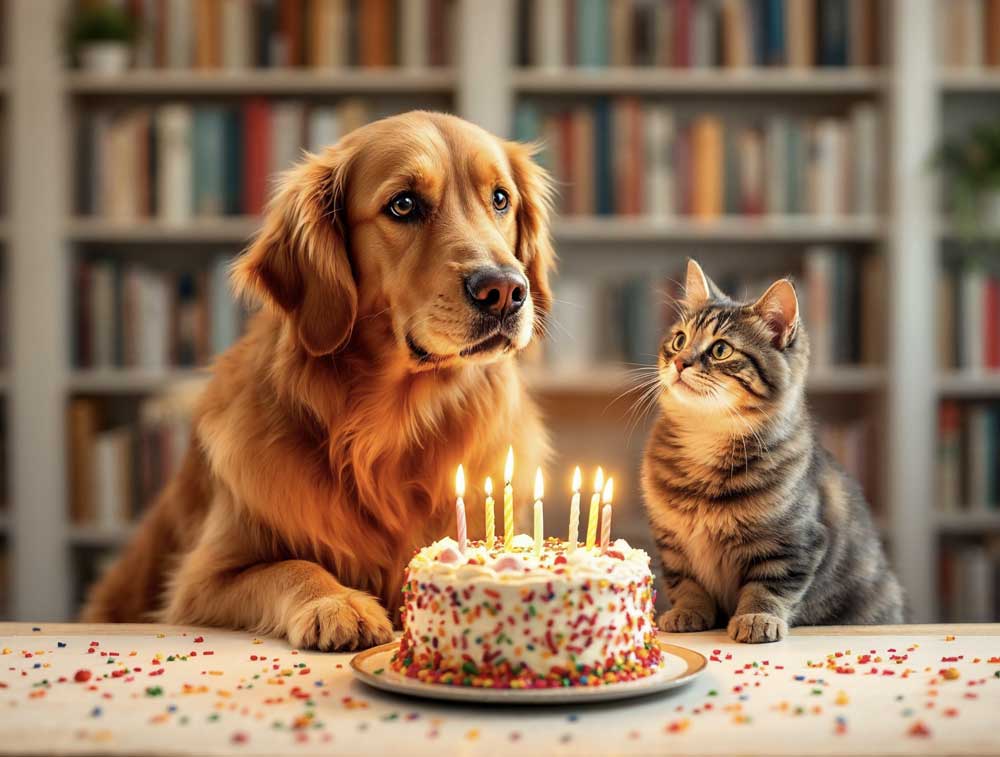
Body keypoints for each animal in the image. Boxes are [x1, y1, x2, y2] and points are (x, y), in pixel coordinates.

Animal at [640, 262, 908, 644]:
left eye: (720, 350)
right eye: (679, 340)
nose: (679, 362)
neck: (706, 435)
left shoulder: (793, 543)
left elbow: (767, 587)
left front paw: (756, 618)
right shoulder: (673, 545)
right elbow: (687, 584)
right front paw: (687, 612)